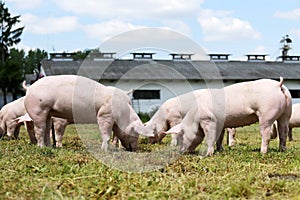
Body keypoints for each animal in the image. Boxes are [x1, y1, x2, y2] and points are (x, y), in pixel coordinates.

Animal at [23, 74, 154, 151]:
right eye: (136, 133)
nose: (134, 149)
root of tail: (29, 89)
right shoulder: (104, 115)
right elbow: (106, 134)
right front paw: (104, 151)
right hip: (38, 110)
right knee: (40, 130)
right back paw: (42, 147)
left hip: (48, 112)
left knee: (46, 129)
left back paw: (50, 147)